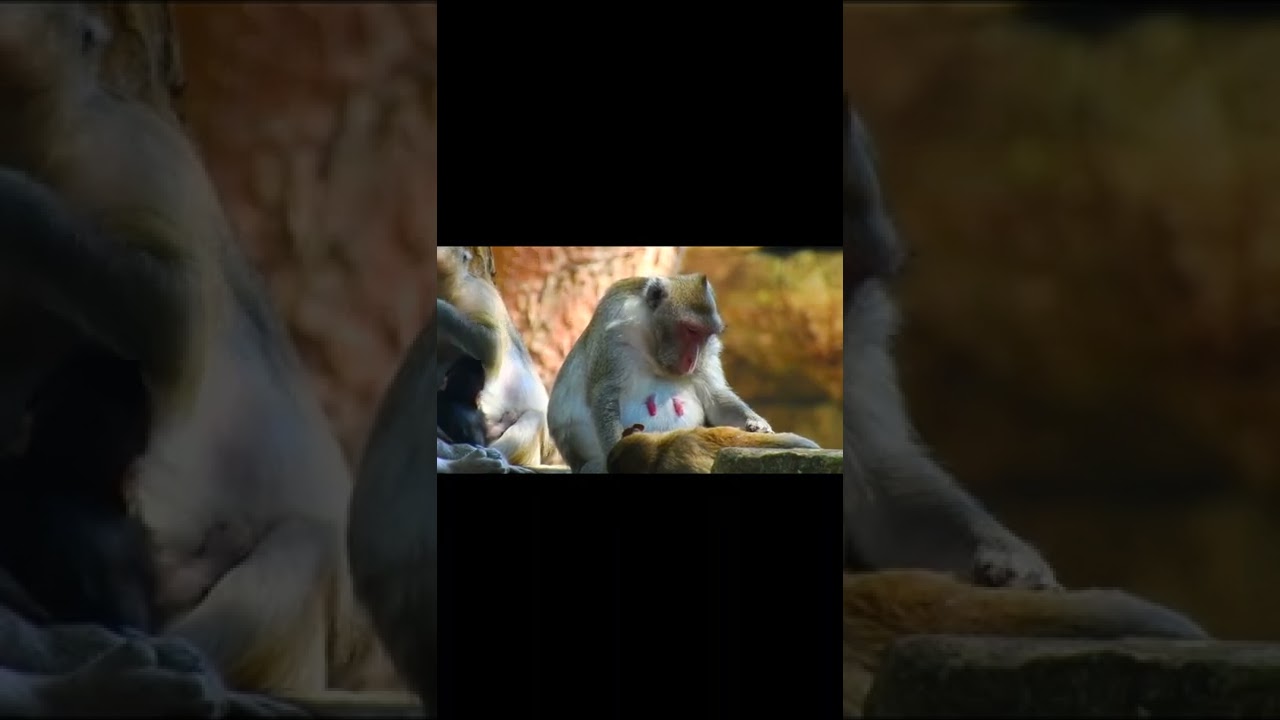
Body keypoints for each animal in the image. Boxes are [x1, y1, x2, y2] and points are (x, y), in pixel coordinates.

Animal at [548, 273, 774, 474]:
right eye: (691, 330)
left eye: (705, 334)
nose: (693, 359)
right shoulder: (614, 330)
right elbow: (605, 395)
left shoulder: (709, 349)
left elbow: (715, 396)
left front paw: (756, 423)